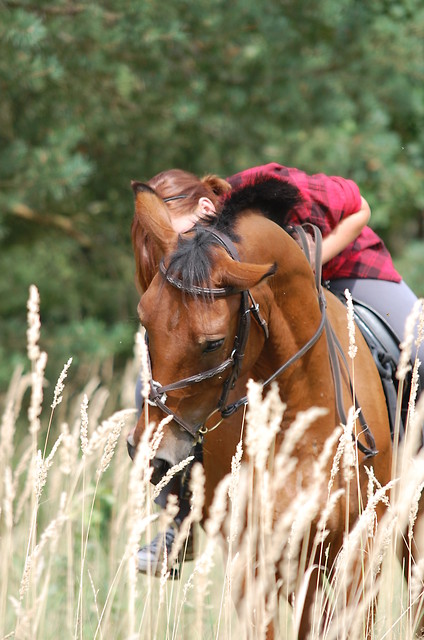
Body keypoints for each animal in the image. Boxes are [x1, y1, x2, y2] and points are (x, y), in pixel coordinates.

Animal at [126, 178, 398, 636]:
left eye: (213, 343)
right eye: (145, 320)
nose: (151, 452)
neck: (301, 412)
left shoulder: (358, 554)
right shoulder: (255, 562)